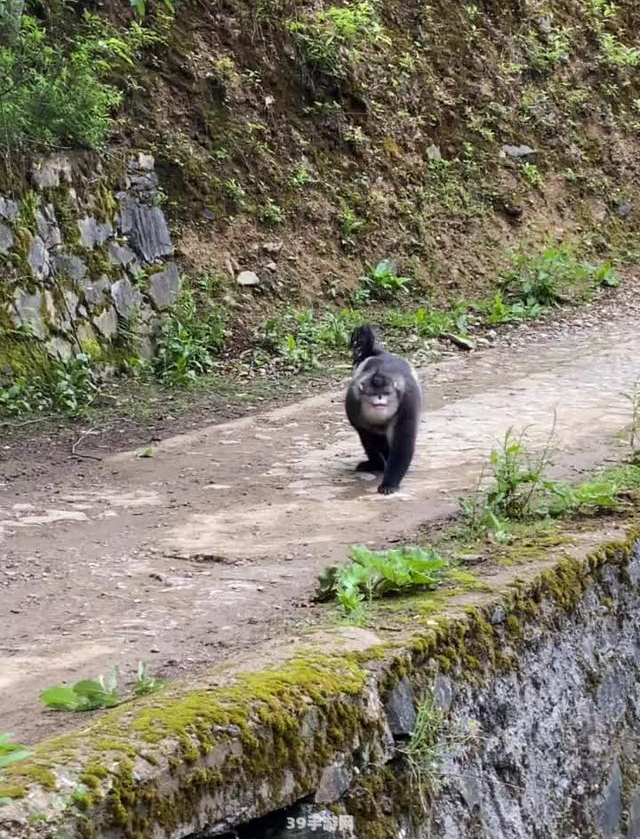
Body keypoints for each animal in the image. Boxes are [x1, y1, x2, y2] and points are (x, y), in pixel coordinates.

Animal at [348, 324, 422, 496]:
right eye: (372, 393)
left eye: (387, 393)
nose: (380, 398)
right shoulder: (354, 406)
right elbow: (368, 439)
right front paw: (378, 464)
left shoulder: (407, 404)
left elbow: (403, 443)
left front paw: (389, 483)